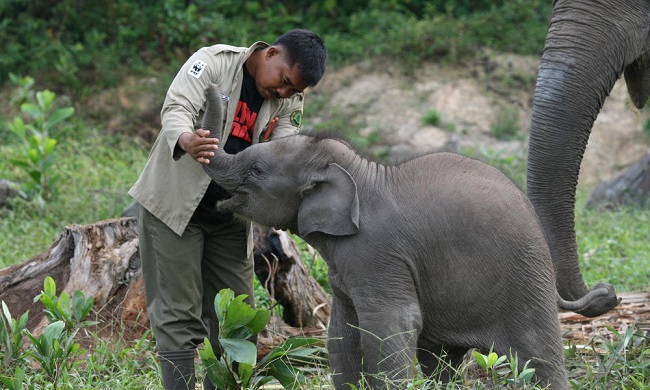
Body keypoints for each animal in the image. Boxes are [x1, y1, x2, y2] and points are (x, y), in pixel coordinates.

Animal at [201, 84, 568, 386]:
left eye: (258, 171)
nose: (212, 89)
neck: (362, 173)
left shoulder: (377, 253)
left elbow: (390, 324)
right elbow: (342, 331)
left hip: (526, 280)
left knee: (538, 356)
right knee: (440, 359)